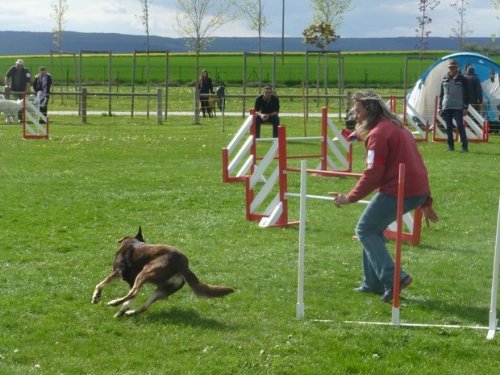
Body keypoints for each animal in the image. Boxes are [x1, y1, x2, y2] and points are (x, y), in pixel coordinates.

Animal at [91, 228, 234, 318]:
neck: (133, 242)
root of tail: (183, 265)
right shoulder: (129, 279)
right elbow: (129, 299)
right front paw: (123, 309)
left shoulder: (118, 272)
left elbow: (101, 283)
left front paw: (96, 296)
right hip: (162, 289)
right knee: (144, 305)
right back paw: (130, 312)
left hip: (145, 273)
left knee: (133, 293)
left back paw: (114, 303)